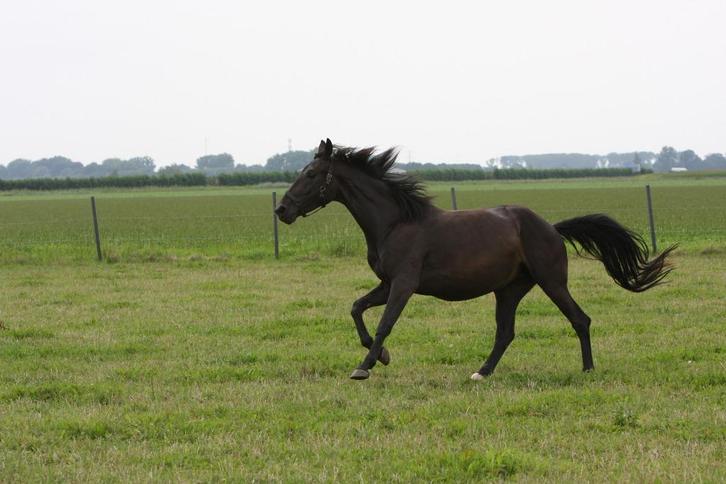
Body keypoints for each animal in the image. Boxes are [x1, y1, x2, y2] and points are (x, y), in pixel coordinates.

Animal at [275, 139, 675, 381]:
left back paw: (587, 371)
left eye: (311, 174)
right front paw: (382, 356)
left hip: (551, 281)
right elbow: (356, 308)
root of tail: (551, 227)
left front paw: (365, 366)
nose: (282, 210)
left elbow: (386, 322)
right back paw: (481, 372)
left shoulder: (403, 284)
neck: (395, 222)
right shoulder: (386, 283)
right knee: (506, 333)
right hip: (509, 290)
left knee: (580, 319)